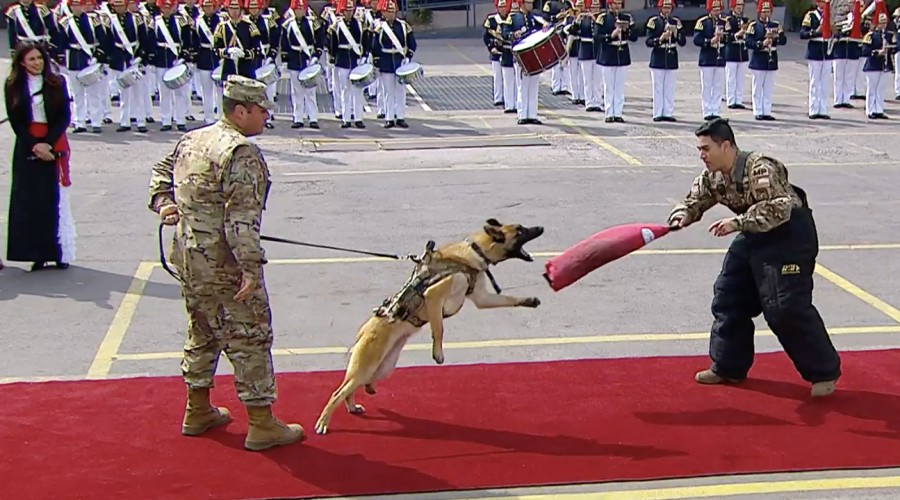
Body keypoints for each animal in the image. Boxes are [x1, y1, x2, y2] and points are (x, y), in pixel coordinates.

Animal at [312, 219, 544, 434]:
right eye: (520, 231)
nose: (541, 228)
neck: (475, 251)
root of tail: (363, 332)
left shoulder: (482, 298)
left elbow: (509, 299)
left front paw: (529, 301)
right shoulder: (434, 295)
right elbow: (439, 328)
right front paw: (438, 353)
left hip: (382, 369)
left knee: (351, 389)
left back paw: (352, 406)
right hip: (366, 367)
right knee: (337, 393)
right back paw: (323, 422)